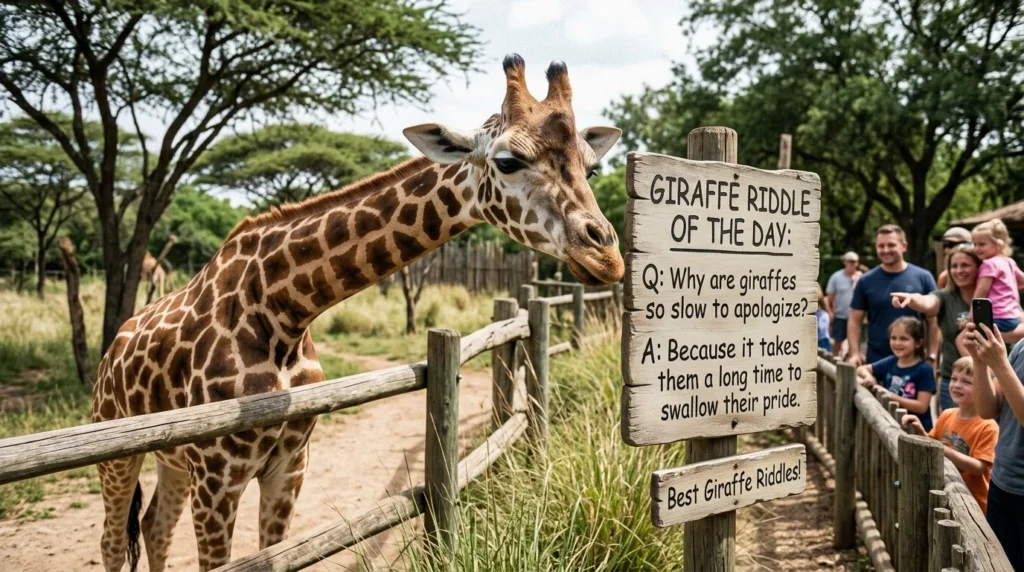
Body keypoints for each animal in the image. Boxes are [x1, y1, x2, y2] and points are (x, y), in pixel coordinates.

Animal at [91, 53, 624, 572]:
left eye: (591, 169)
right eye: (509, 161)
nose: (607, 256)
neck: (282, 313)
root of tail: (110, 352)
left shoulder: (289, 464)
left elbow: (271, 556)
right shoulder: (219, 475)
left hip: (172, 460)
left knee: (156, 528)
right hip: (119, 456)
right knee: (114, 542)